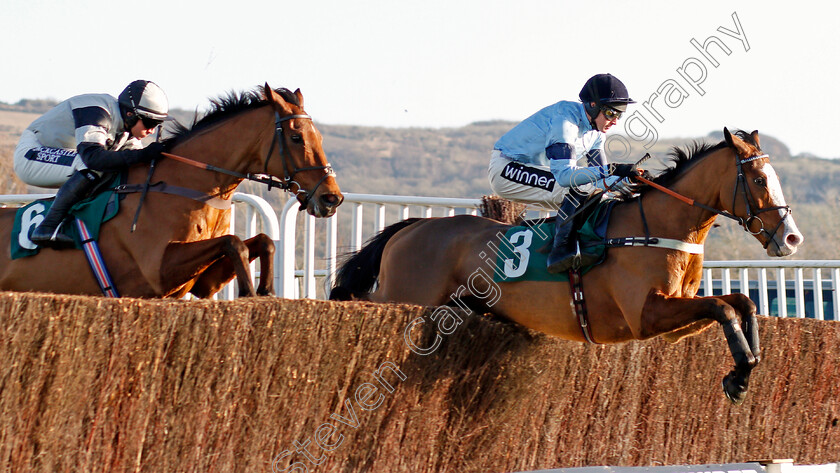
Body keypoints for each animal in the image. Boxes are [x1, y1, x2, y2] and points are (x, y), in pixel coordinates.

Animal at [0, 84, 342, 296]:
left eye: (320, 136)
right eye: (296, 137)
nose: (332, 198)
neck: (184, 186)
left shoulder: (201, 282)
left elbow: (262, 242)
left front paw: (266, 290)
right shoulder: (158, 272)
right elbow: (235, 242)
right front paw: (250, 292)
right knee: (84, 168)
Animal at [328, 128, 800, 402]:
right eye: (759, 180)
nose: (790, 238)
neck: (655, 227)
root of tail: (411, 227)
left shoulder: (673, 321)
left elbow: (739, 304)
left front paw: (746, 367)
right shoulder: (645, 315)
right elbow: (722, 307)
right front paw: (741, 371)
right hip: (405, 295)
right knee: (358, 300)